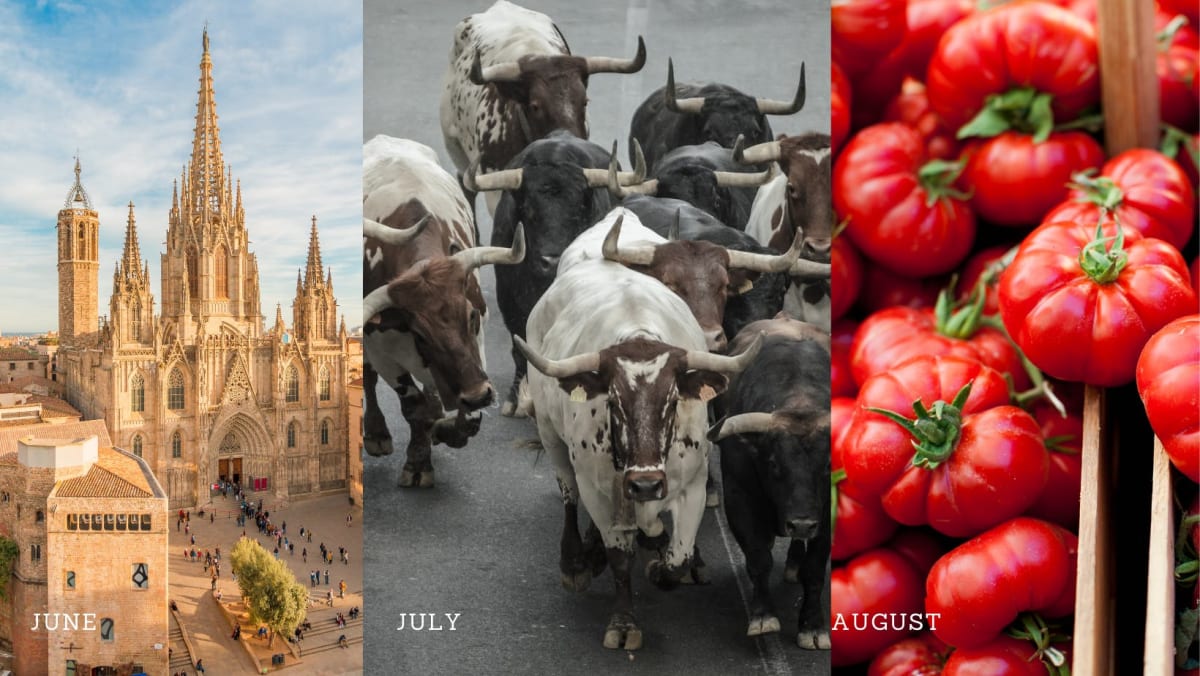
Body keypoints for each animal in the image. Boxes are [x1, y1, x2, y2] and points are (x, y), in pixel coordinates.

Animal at [357, 136, 523, 487]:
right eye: (420, 333)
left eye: (471, 316)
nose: (479, 395)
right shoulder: (382, 351)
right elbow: (413, 409)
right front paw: (418, 464)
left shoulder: (477, 349)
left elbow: (467, 419)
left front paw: (447, 429)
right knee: (367, 377)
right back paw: (377, 433)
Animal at [516, 252, 758, 648]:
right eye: (614, 402)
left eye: (673, 401)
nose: (645, 485)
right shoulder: (596, 489)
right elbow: (619, 555)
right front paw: (624, 622)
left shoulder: (692, 486)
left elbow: (679, 557)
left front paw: (662, 564)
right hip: (552, 437)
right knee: (567, 493)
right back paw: (576, 562)